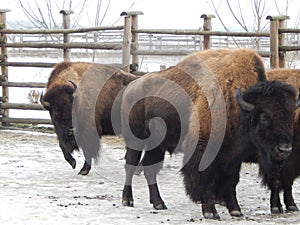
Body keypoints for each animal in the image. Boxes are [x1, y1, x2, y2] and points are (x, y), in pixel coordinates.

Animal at [119, 48, 298, 220]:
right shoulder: (205, 150)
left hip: (157, 146)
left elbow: (231, 180)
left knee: (150, 168)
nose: (285, 150)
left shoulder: (234, 156)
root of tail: (132, 86)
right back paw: (128, 200)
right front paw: (210, 211)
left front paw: (235, 210)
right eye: (264, 117)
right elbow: (207, 180)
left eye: (291, 116)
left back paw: (159, 203)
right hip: (136, 139)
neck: (237, 106)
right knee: (130, 164)